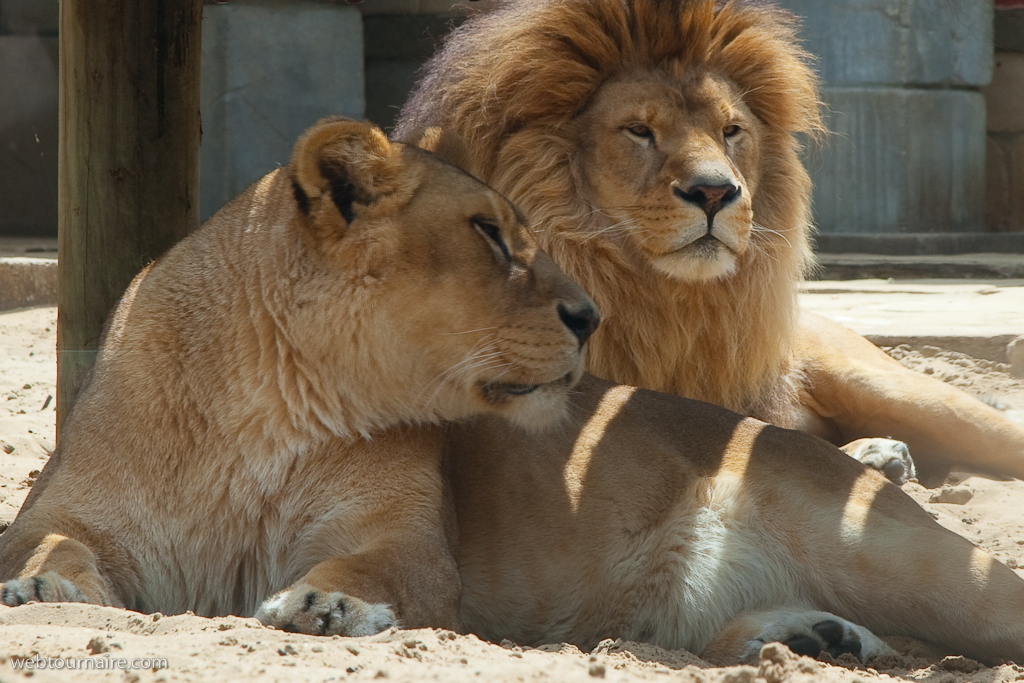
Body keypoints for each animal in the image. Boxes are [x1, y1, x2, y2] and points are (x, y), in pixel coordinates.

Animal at [0, 117, 599, 636]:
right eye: (488, 231)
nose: (591, 318)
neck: (269, 413)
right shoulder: (53, 509)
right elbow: (49, 546)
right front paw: (42, 589)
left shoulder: (407, 534)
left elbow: (372, 567)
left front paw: (330, 602)